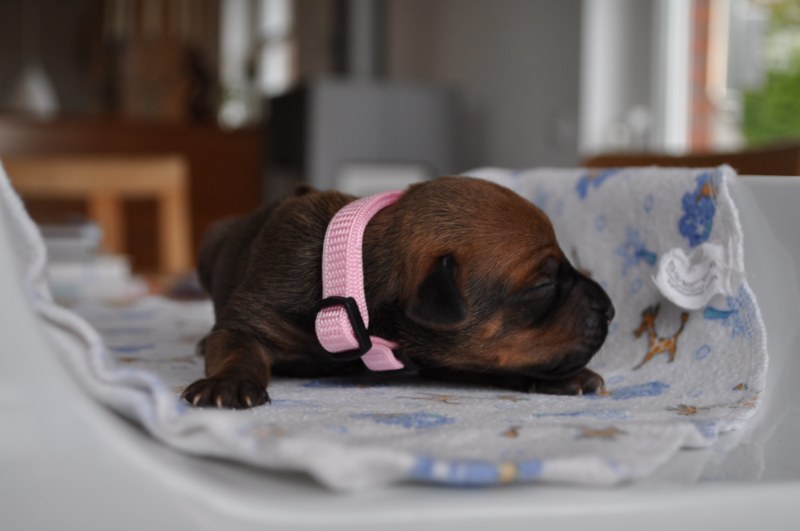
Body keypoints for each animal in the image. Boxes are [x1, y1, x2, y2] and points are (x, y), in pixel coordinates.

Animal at [182, 177, 615, 409]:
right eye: (543, 285)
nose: (611, 310)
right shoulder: (251, 319)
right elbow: (238, 347)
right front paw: (228, 383)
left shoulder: (441, 350)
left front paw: (565, 378)